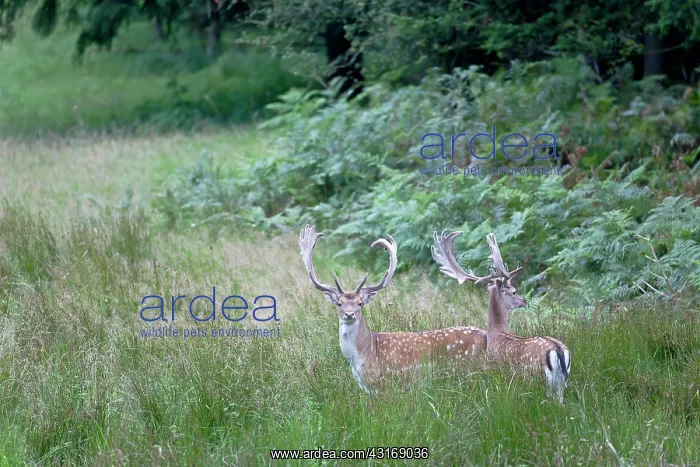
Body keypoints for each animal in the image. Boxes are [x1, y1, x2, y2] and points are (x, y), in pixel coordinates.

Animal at [299, 224, 487, 394]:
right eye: (339, 303)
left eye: (360, 303)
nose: (349, 314)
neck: (364, 355)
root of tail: (486, 336)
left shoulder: (386, 385)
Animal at [432, 230, 571, 403]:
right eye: (514, 292)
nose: (525, 300)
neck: (497, 333)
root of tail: (558, 350)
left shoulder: (496, 367)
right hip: (560, 382)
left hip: (538, 377)